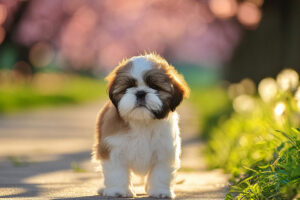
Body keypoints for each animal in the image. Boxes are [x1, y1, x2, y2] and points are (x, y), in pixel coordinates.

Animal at [92, 53, 189, 198]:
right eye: (127, 87)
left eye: (155, 87)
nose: (140, 92)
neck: (142, 122)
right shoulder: (113, 149)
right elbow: (117, 173)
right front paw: (119, 191)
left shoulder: (165, 151)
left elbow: (161, 173)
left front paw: (160, 191)